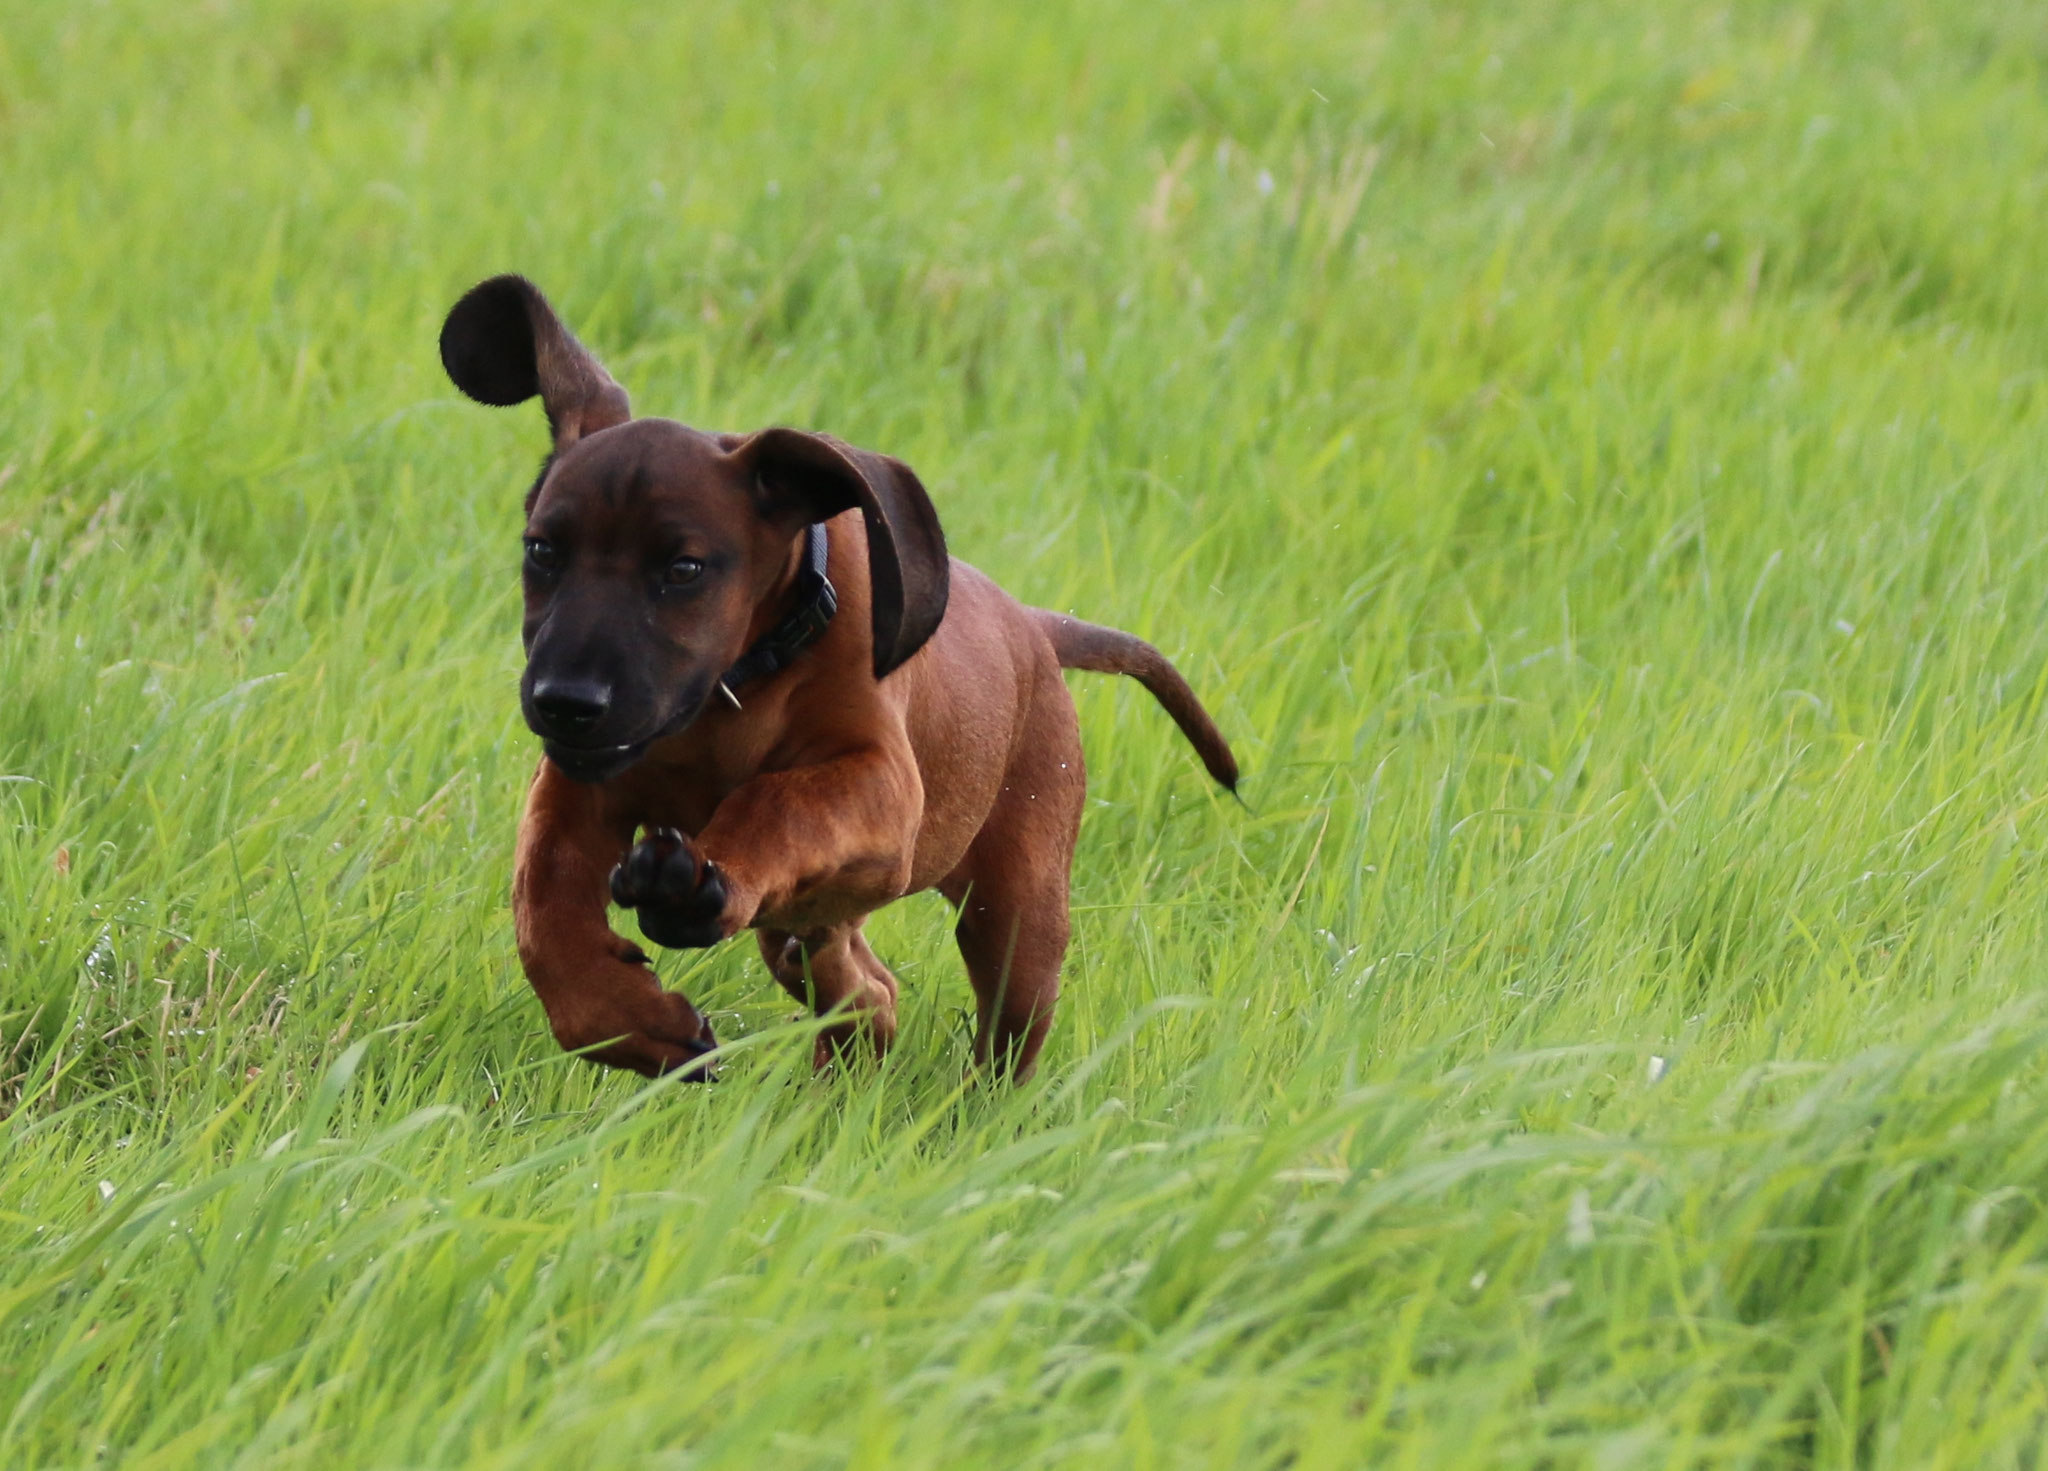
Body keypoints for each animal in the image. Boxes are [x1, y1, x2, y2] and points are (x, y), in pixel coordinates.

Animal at [442, 278, 1236, 1081]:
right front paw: (631, 1020)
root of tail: (1035, 626)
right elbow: (542, 905)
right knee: (862, 983)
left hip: (1018, 907)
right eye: (542, 552)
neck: (733, 692)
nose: (566, 703)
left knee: (997, 1034)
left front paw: (701, 880)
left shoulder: (880, 783)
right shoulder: (577, 789)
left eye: (685, 568)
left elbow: (777, 800)